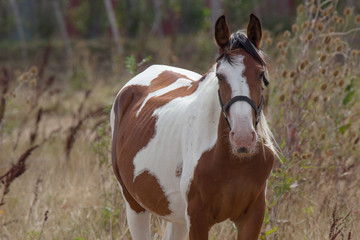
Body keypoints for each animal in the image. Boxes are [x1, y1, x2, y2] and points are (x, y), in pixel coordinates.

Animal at [111, 13, 278, 240]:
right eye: (220, 76)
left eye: (260, 74)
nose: (242, 138)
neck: (232, 163)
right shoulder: (197, 219)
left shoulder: (253, 216)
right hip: (134, 205)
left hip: (175, 216)